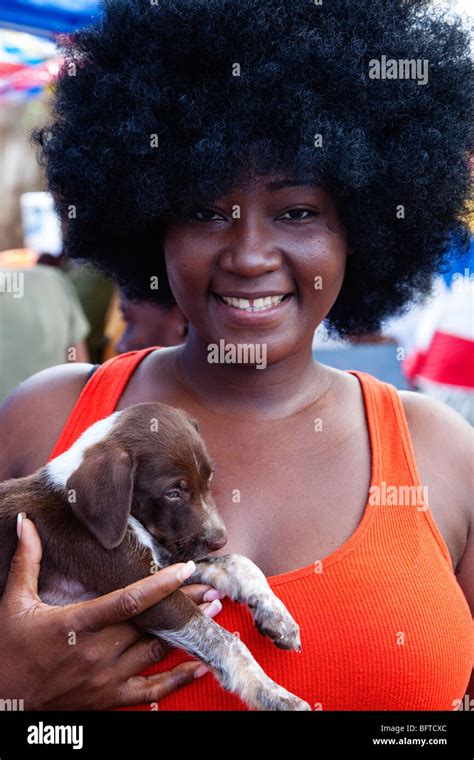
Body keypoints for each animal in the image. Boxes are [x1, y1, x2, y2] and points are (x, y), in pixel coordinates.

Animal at [0, 404, 312, 712]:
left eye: (208, 479)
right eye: (172, 493)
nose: (219, 539)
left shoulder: (166, 565)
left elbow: (239, 563)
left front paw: (277, 617)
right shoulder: (144, 588)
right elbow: (223, 640)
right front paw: (275, 695)